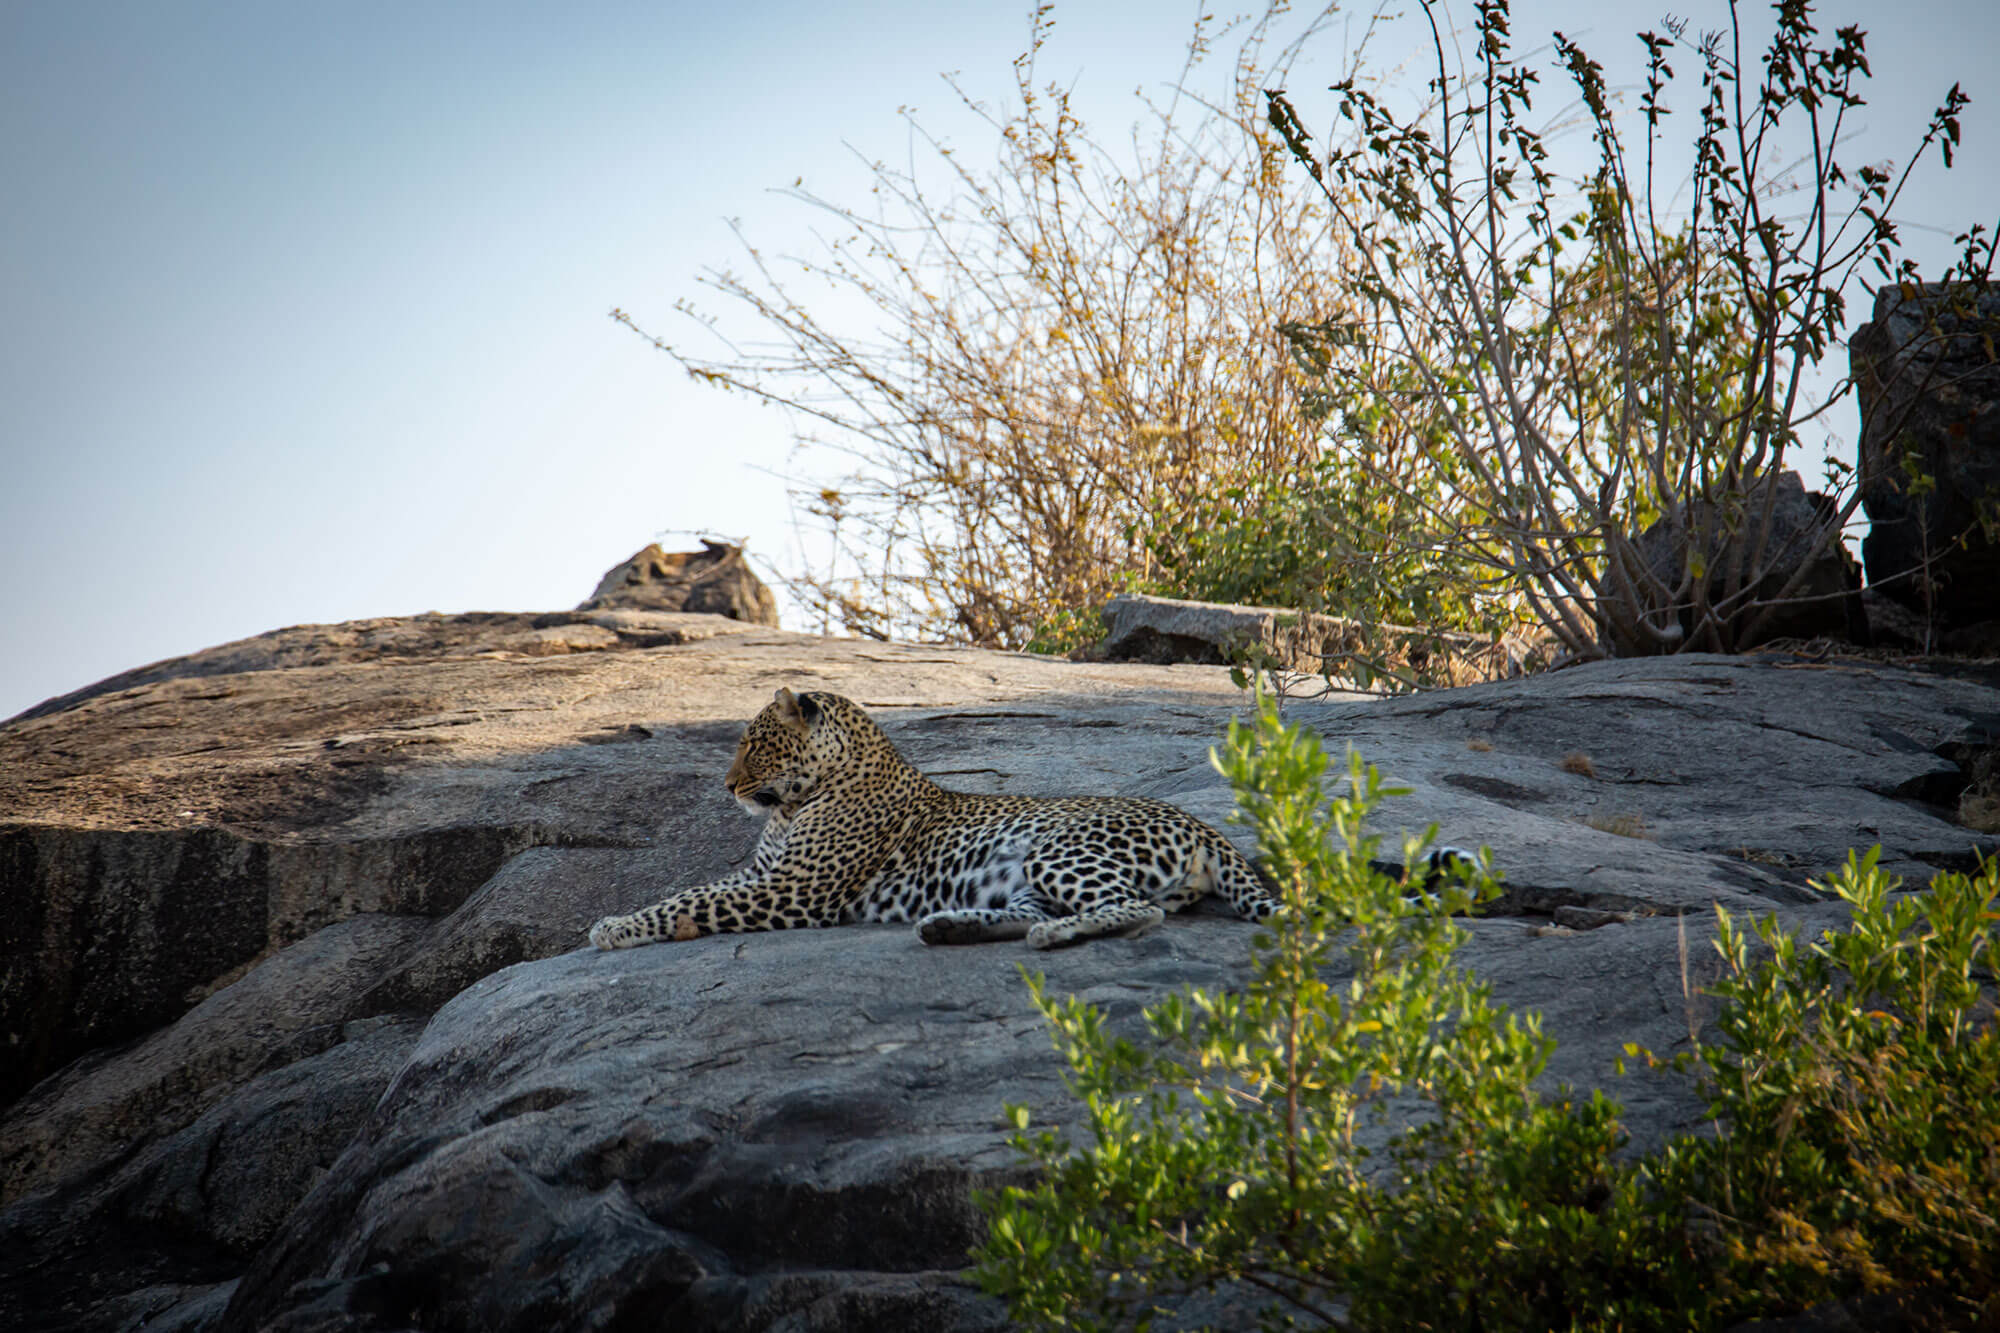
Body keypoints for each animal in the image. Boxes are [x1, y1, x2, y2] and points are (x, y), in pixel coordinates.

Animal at [592, 684, 1280, 944]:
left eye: (754, 744)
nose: (727, 785)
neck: (792, 805)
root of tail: (1203, 826)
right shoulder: (764, 875)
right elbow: (692, 891)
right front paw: (620, 918)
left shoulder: (794, 889)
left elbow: (693, 902)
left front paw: (616, 929)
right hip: (1026, 875)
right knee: (1039, 912)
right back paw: (951, 925)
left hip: (1059, 850)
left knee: (1136, 911)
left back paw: (1052, 936)